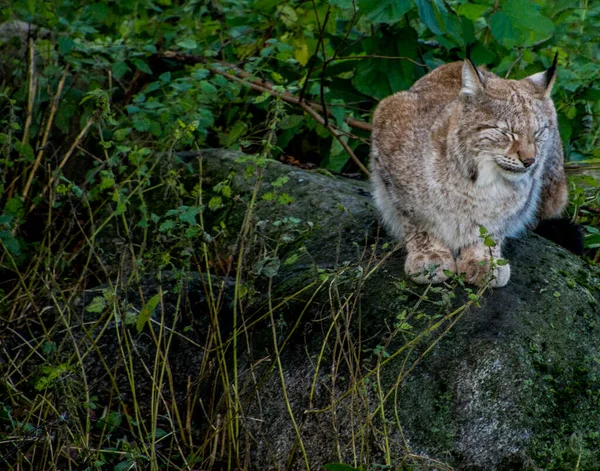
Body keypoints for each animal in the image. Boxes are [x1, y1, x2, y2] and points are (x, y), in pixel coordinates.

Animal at [370, 56, 568, 288]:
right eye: (506, 132)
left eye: (538, 133)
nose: (530, 161)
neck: (478, 181)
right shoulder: (389, 123)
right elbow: (417, 222)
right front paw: (429, 256)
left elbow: (492, 228)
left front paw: (484, 260)